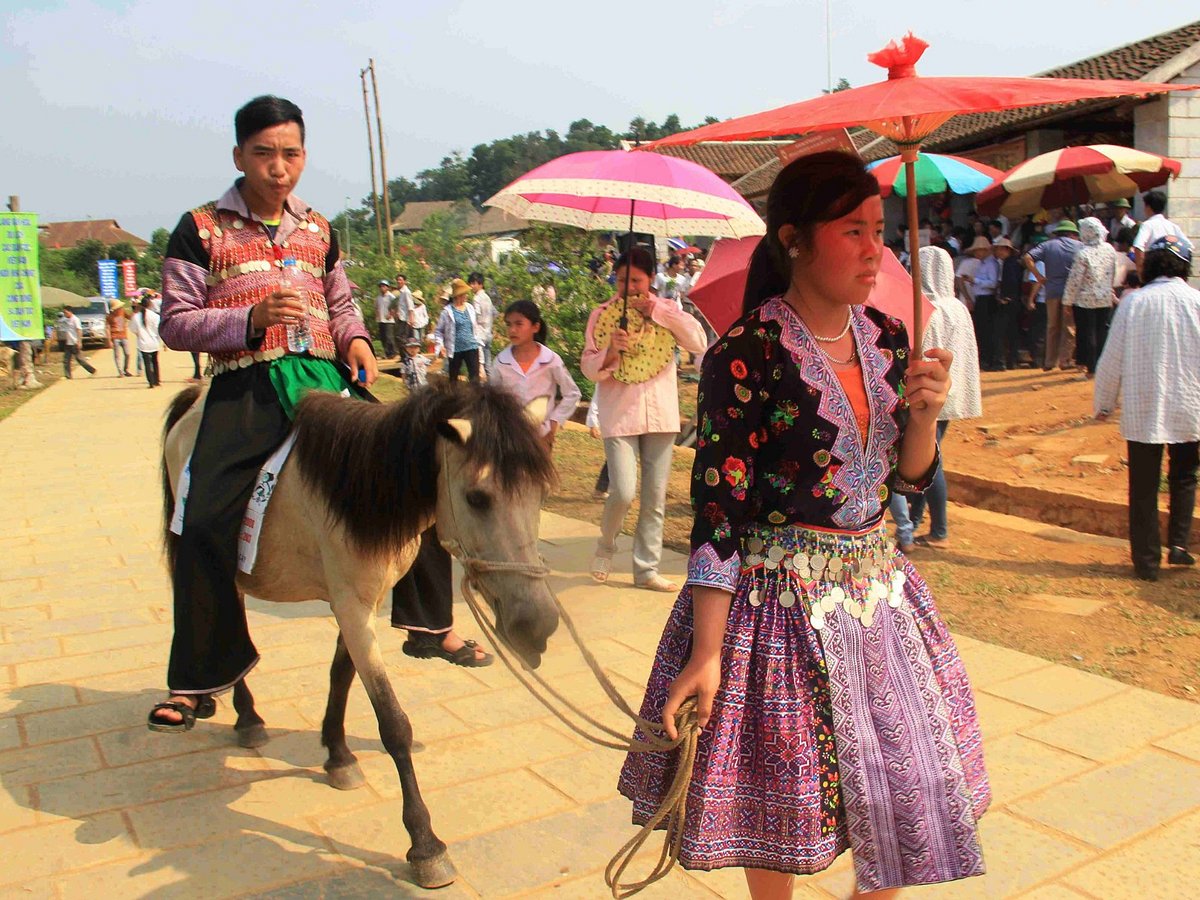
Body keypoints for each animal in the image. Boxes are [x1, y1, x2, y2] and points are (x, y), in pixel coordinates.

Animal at [158, 379, 561, 888]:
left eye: (540, 494)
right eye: (477, 498)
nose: (538, 626)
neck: (358, 491)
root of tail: (194, 397)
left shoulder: (355, 603)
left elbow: (340, 678)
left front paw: (338, 755)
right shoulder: (351, 606)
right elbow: (393, 723)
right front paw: (426, 845)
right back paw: (231, 711)